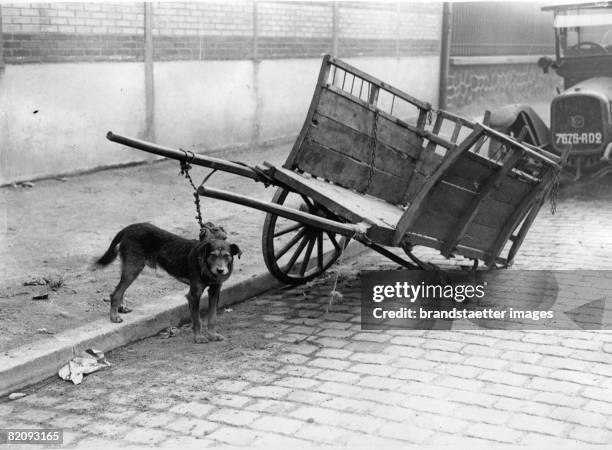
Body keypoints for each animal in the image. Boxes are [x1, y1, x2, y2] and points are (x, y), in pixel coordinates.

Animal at [94, 223, 240, 342]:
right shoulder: (194, 295)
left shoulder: (215, 291)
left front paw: (212, 335)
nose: (220, 270)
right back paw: (114, 316)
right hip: (133, 268)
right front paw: (198, 338)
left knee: (120, 290)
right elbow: (197, 320)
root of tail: (130, 228)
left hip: (130, 268)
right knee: (115, 293)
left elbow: (212, 317)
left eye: (226, 256)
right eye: (213, 255)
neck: (205, 264)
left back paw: (121, 308)